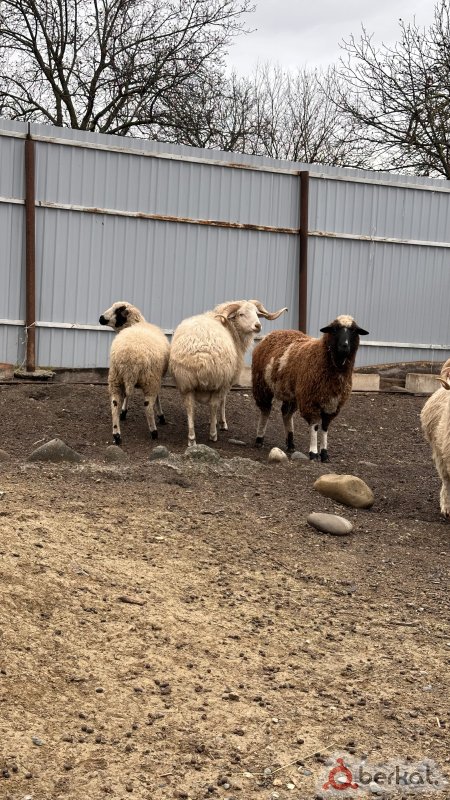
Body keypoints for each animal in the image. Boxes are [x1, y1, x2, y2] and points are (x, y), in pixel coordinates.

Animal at [99, 301, 170, 445]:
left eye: (118, 310)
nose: (101, 318)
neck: (136, 324)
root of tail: (129, 357)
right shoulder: (157, 378)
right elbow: (158, 397)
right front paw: (161, 416)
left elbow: (127, 396)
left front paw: (124, 412)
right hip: (150, 380)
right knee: (148, 407)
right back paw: (154, 431)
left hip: (116, 378)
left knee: (114, 404)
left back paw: (117, 434)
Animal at [169, 299, 287, 447]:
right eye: (241, 314)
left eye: (256, 313)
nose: (257, 325)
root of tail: (200, 356)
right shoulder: (227, 380)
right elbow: (223, 401)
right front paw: (221, 423)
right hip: (217, 380)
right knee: (213, 404)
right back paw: (213, 434)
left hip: (185, 382)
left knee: (190, 407)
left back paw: (191, 438)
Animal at [252, 314, 369, 461]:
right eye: (335, 329)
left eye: (354, 330)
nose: (344, 346)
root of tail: (274, 333)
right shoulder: (310, 400)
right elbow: (315, 426)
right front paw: (313, 452)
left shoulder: (332, 405)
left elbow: (324, 428)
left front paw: (324, 454)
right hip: (262, 386)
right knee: (265, 411)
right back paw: (259, 439)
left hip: (292, 393)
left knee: (286, 414)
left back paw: (290, 443)